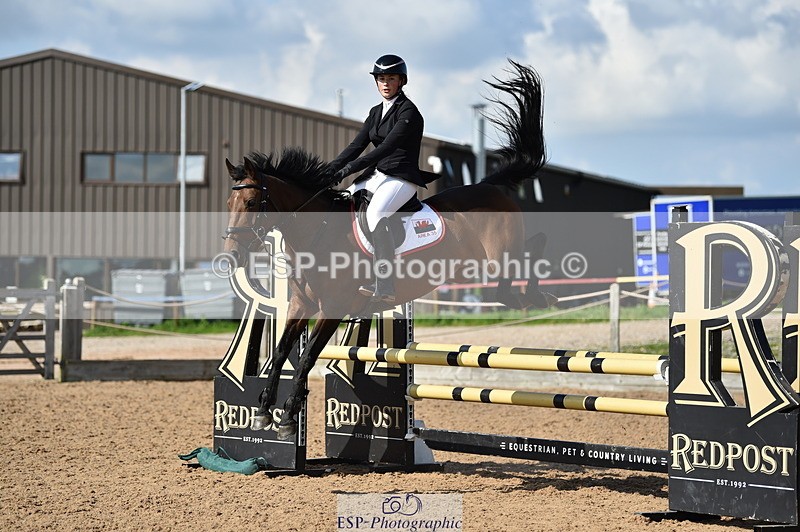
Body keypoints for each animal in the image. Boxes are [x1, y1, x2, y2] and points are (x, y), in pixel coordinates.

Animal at [223, 60, 554, 440]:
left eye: (250, 203)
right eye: (229, 203)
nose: (231, 255)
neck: (318, 233)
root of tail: (488, 185)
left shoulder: (332, 309)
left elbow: (306, 358)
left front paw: (289, 417)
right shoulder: (299, 304)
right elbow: (279, 354)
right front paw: (264, 412)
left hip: (497, 258)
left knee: (527, 257)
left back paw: (536, 295)